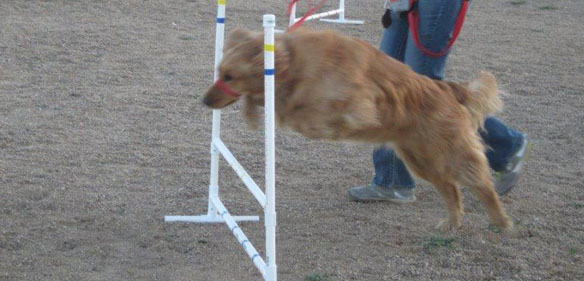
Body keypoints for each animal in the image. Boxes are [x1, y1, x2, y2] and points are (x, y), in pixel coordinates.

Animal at [203, 27, 512, 231]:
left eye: (229, 76)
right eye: (219, 72)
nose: (204, 101)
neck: (295, 58)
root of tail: (447, 88)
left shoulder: (350, 100)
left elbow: (301, 110)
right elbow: (277, 102)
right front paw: (253, 109)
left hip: (448, 153)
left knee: (481, 183)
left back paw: (500, 221)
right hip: (420, 159)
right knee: (451, 188)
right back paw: (451, 222)